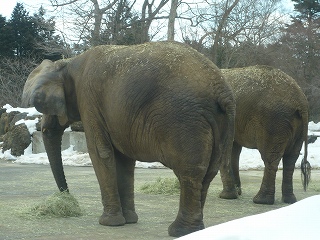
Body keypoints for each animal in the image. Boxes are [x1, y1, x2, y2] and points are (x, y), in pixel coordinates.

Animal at [20, 40, 235, 236]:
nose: (67, 196)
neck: (67, 62)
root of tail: (222, 90)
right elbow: (124, 159)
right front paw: (129, 221)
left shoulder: (89, 99)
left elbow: (100, 152)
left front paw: (109, 223)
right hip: (218, 123)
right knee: (209, 171)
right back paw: (195, 230)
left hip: (184, 119)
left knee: (189, 172)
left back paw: (179, 231)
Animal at [218, 65, 310, 204]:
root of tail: (300, 100)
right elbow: (233, 149)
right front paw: (236, 192)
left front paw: (227, 196)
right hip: (295, 125)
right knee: (291, 159)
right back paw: (289, 200)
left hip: (273, 122)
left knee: (270, 158)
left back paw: (261, 200)